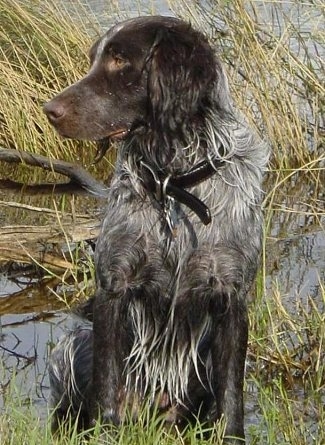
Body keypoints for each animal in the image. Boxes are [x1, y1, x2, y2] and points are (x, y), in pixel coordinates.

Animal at [45, 15, 268, 442]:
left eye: (119, 59)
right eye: (95, 58)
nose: (50, 110)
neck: (174, 184)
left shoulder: (232, 296)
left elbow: (231, 398)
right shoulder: (113, 287)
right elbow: (106, 389)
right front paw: (103, 432)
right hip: (68, 345)